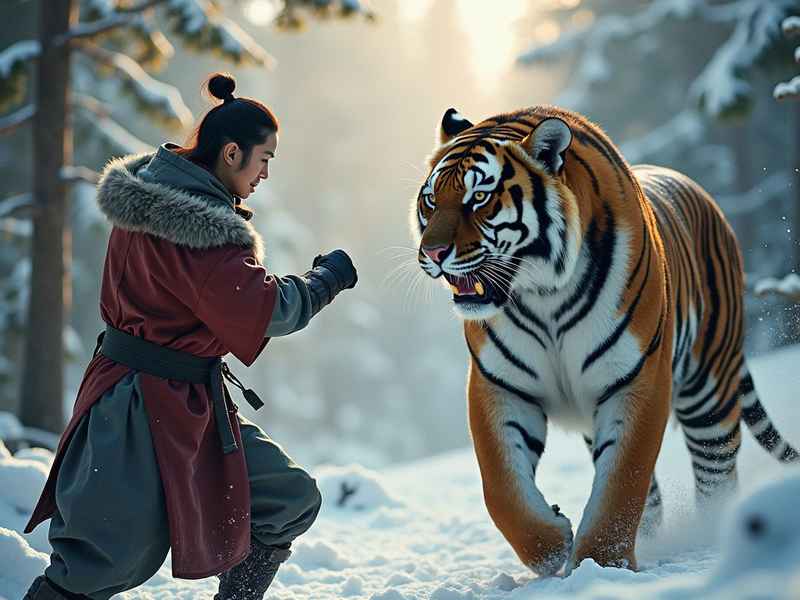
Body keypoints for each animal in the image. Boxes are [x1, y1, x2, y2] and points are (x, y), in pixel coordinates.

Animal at [410, 105, 799, 576]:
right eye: (431, 200)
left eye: (480, 198)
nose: (432, 253)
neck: (543, 297)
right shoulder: (499, 384)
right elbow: (501, 487)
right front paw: (552, 545)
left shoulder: (638, 378)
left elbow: (623, 482)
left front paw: (602, 562)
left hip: (710, 393)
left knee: (716, 478)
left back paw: (716, 537)